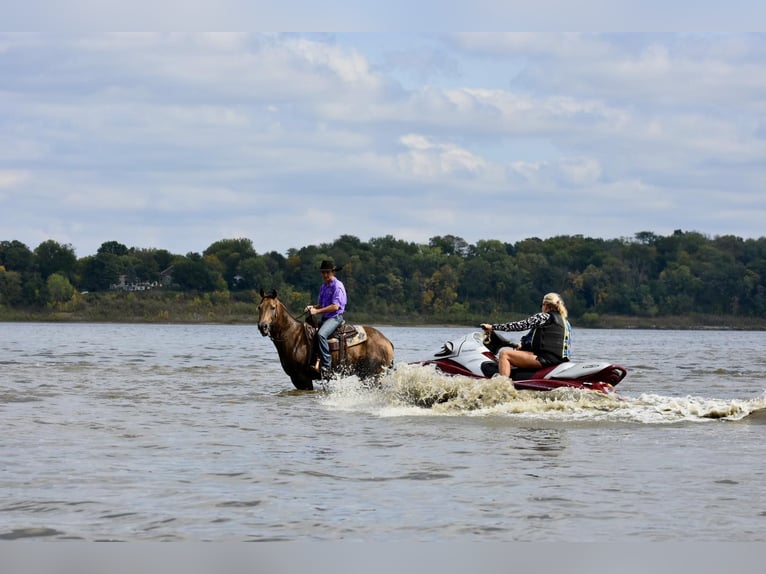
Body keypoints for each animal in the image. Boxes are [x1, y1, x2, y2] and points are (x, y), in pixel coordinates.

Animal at [258, 290, 396, 390]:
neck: (293, 336)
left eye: (273, 307)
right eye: (259, 307)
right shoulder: (296, 379)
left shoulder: (302, 378)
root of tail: (387, 342)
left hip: (372, 377)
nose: (262, 326)